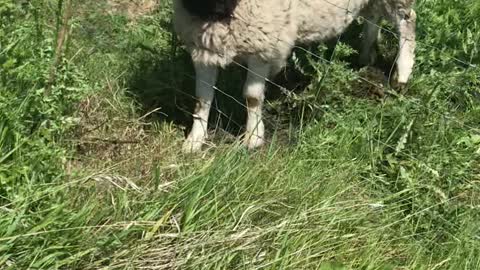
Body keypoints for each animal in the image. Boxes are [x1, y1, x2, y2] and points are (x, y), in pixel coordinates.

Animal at [172, 0, 416, 152]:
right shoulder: (202, 45)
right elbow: (202, 98)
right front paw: (194, 140)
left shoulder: (264, 43)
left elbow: (252, 96)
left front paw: (253, 137)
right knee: (374, 14)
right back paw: (367, 54)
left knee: (407, 21)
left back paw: (402, 73)